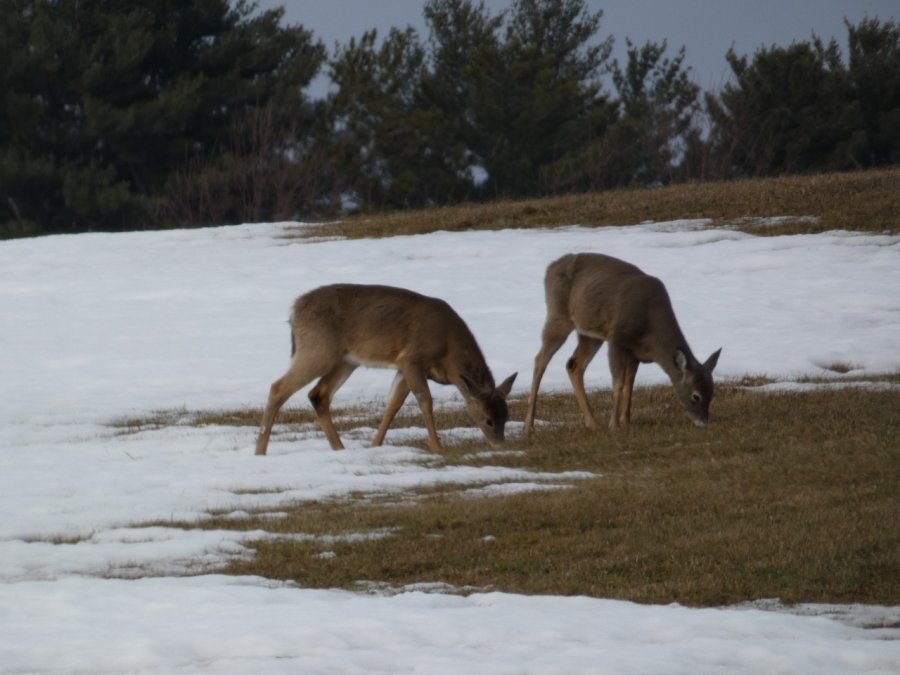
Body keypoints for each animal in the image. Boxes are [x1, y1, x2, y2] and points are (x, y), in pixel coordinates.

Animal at [255, 283, 517, 455]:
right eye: (488, 420)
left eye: (506, 415)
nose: (500, 446)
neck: (448, 349)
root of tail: (294, 311)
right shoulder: (412, 359)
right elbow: (425, 400)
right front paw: (437, 446)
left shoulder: (402, 368)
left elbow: (393, 405)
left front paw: (375, 444)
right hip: (318, 350)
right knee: (278, 388)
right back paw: (260, 451)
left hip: (346, 361)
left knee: (318, 394)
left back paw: (340, 448)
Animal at [524, 253, 721, 436]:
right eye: (696, 396)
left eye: (712, 392)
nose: (703, 422)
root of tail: (551, 267)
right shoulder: (617, 338)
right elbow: (618, 382)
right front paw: (614, 425)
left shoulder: (635, 351)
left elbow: (629, 383)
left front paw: (626, 422)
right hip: (558, 315)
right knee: (540, 359)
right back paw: (529, 426)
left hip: (590, 334)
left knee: (573, 364)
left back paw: (592, 423)